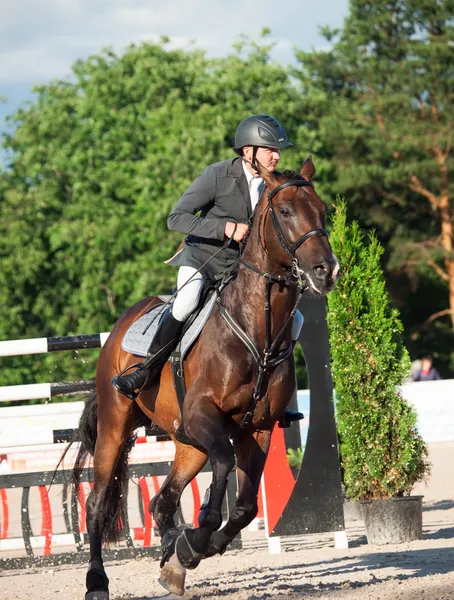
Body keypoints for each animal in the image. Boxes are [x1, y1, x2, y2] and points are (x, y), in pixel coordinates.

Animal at [60, 157, 338, 596]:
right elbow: (223, 471)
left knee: (163, 501)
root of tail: (121, 325)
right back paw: (97, 580)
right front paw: (196, 538)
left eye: (323, 210)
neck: (255, 330)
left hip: (187, 441)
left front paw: (190, 551)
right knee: (97, 503)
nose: (326, 271)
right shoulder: (205, 414)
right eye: (285, 211)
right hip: (117, 426)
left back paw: (172, 554)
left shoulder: (257, 428)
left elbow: (244, 507)